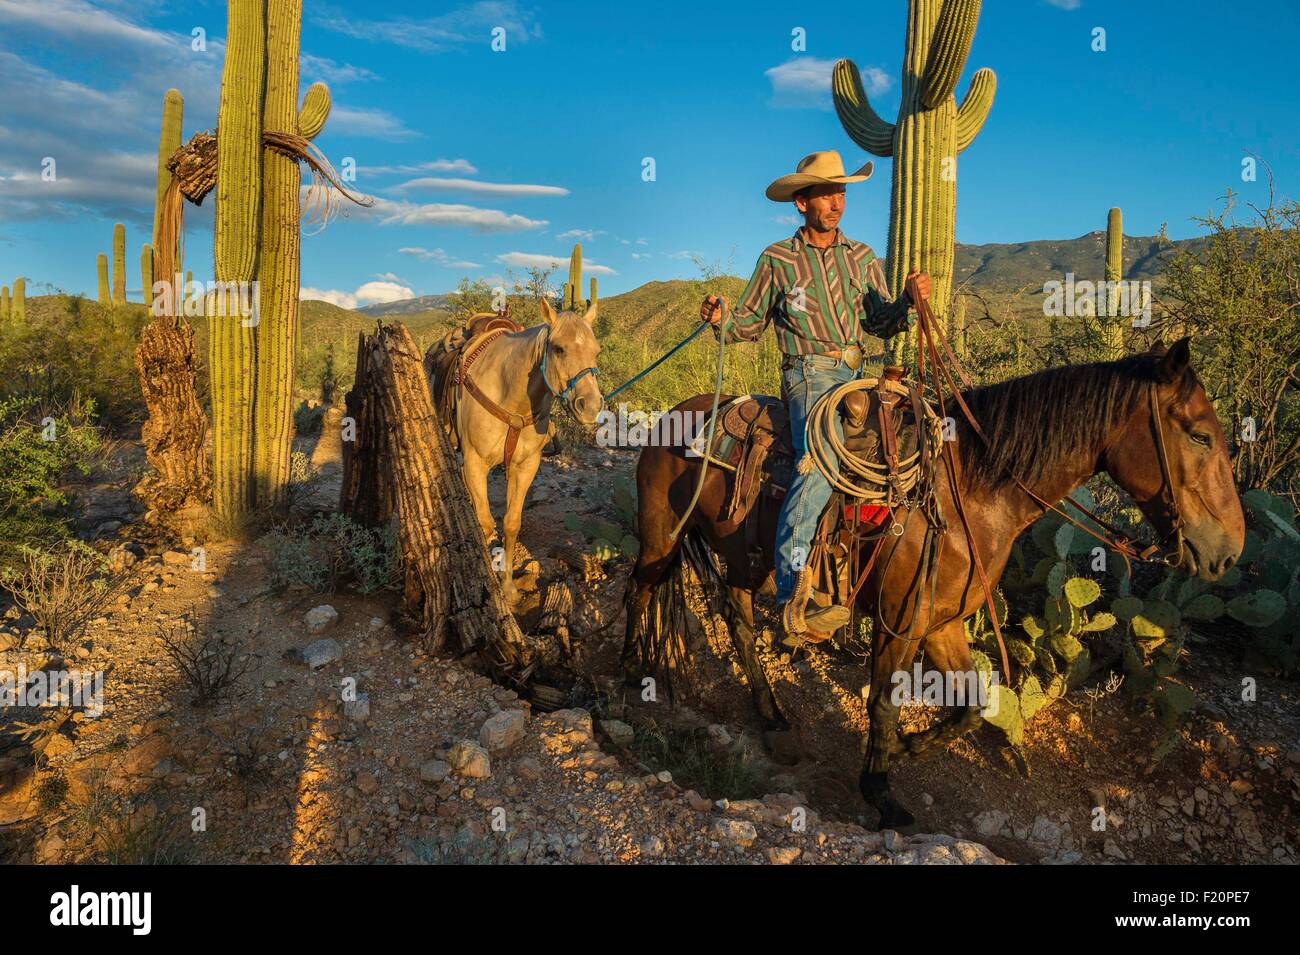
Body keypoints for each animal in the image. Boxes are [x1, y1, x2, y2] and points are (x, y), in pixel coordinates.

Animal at [624, 343, 1242, 831]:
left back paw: (771, 717)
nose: (1229, 550)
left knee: (737, 619)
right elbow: (881, 703)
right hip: (661, 541)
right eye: (1201, 435)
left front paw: (904, 750)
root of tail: (672, 416)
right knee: (639, 593)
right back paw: (631, 678)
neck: (971, 492)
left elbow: (972, 706)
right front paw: (881, 793)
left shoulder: (942, 622)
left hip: (741, 559)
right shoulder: (899, 622)